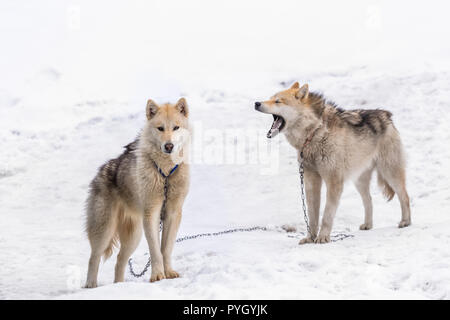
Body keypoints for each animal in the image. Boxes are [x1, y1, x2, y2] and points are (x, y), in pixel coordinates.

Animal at [85, 97, 191, 288]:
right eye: (160, 128)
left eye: (176, 127)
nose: (169, 146)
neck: (165, 174)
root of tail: (101, 170)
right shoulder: (151, 214)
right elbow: (155, 251)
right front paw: (157, 276)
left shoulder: (173, 213)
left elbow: (166, 249)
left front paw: (169, 273)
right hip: (105, 230)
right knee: (94, 257)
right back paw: (91, 286)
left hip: (134, 236)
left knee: (119, 260)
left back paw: (120, 286)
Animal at [255, 82, 410, 242]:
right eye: (270, 98)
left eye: (278, 101)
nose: (257, 103)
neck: (314, 132)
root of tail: (386, 116)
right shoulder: (311, 181)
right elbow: (312, 215)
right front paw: (310, 238)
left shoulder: (334, 181)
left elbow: (327, 214)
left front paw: (323, 237)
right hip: (359, 181)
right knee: (369, 200)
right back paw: (368, 225)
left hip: (390, 174)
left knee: (405, 196)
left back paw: (405, 222)